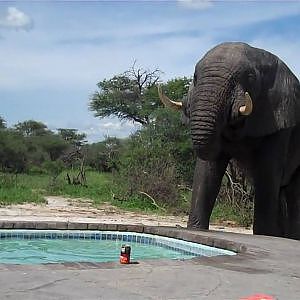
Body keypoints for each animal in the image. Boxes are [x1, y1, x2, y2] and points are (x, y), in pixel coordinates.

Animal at [158, 41, 298, 239]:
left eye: (250, 77)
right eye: (195, 77)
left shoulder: (281, 117)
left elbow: (268, 173)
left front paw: (265, 236)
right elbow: (207, 169)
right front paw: (196, 230)